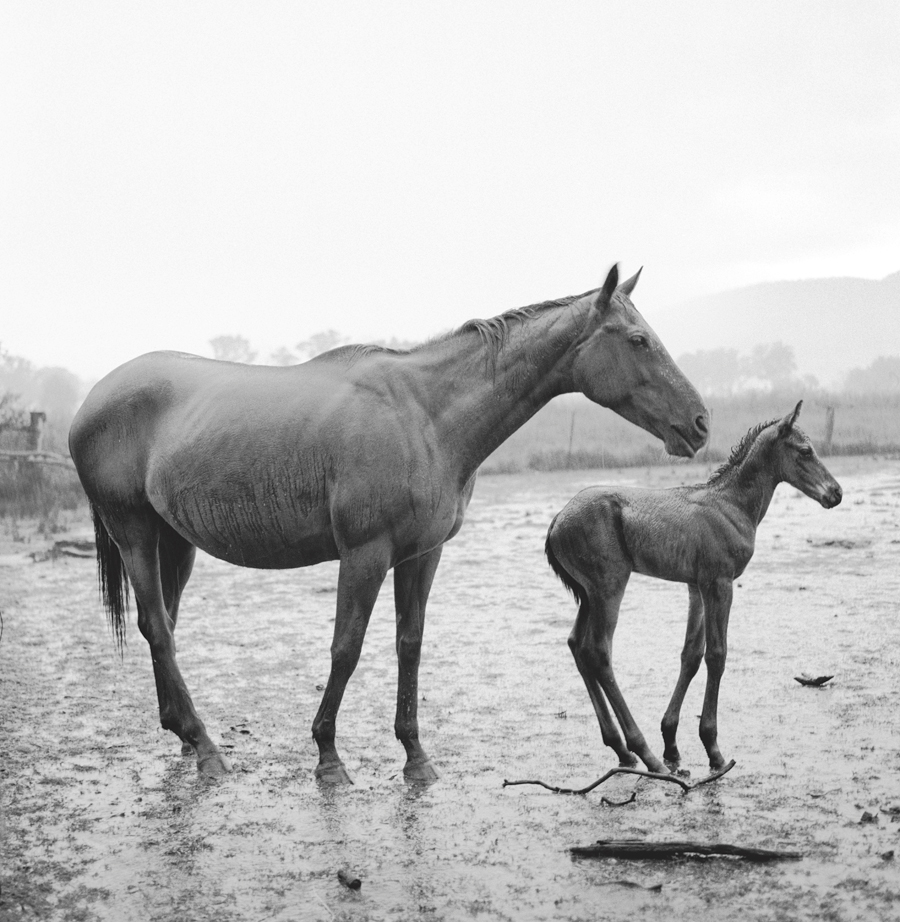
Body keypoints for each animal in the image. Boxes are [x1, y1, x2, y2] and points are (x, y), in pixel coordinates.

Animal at [69, 263, 709, 784]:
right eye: (638, 340)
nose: (700, 423)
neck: (423, 414)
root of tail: (91, 400)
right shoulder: (365, 553)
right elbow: (346, 648)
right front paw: (328, 757)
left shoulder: (421, 554)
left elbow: (410, 643)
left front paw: (415, 757)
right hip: (134, 533)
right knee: (158, 627)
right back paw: (205, 748)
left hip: (175, 542)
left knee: (166, 627)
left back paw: (184, 734)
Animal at [545, 401, 842, 774]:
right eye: (805, 451)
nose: (836, 493)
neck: (730, 504)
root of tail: (557, 519)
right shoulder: (720, 583)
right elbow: (717, 654)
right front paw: (712, 748)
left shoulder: (695, 587)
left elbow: (691, 655)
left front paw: (672, 742)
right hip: (609, 587)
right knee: (598, 651)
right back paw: (644, 752)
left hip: (587, 595)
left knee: (576, 645)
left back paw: (622, 749)